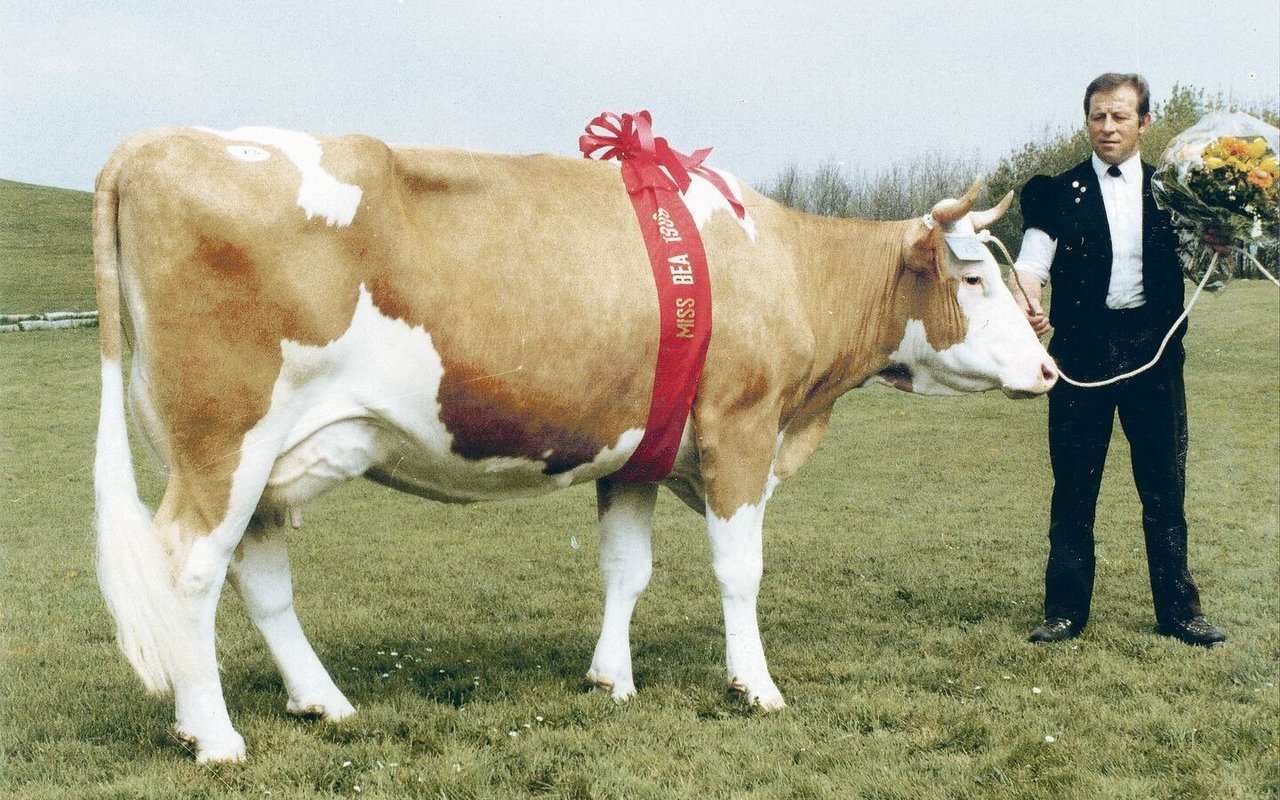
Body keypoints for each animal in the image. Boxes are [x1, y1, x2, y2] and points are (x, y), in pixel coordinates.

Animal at [92, 126, 1059, 762]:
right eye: (976, 276)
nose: (1051, 368)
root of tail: (157, 142)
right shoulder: (741, 427)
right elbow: (738, 570)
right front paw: (755, 685)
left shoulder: (637, 451)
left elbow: (625, 569)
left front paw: (610, 680)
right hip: (225, 446)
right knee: (187, 568)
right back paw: (214, 734)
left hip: (267, 463)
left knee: (258, 580)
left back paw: (319, 702)